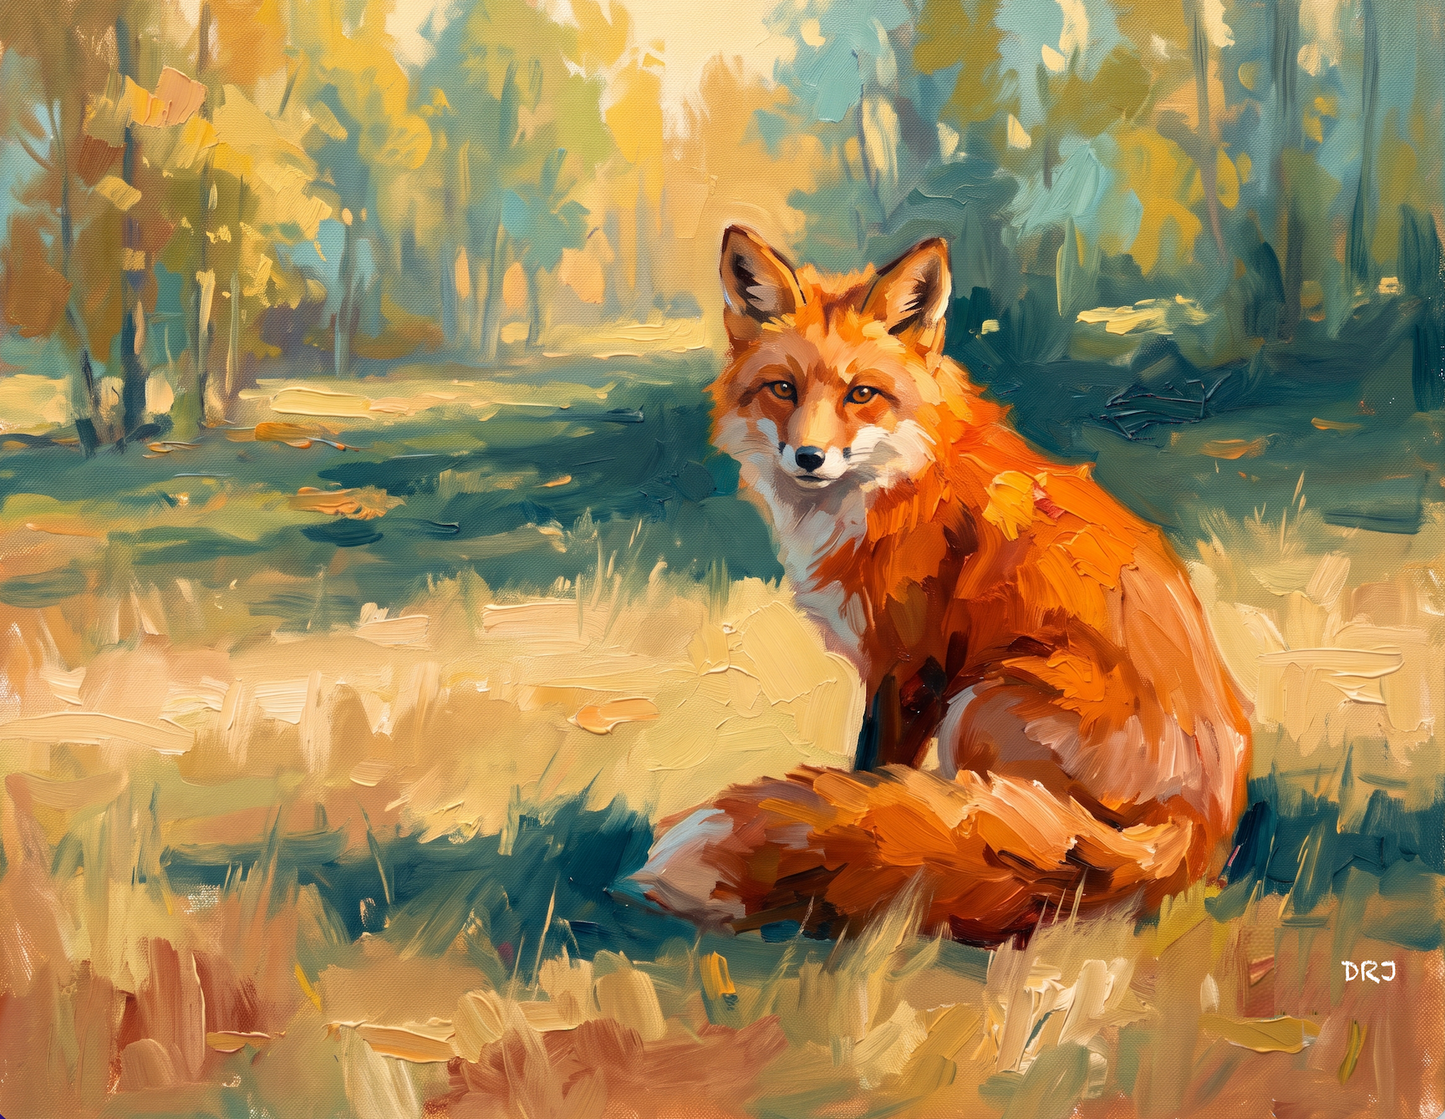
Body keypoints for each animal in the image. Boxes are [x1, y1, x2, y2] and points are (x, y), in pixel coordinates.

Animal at [630, 227, 1253, 946]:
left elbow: (869, 776)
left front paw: (857, 827)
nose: (808, 457)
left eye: (861, 394)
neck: (899, 482)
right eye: (781, 388)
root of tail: (1195, 834)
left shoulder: (909, 668)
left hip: (981, 699)